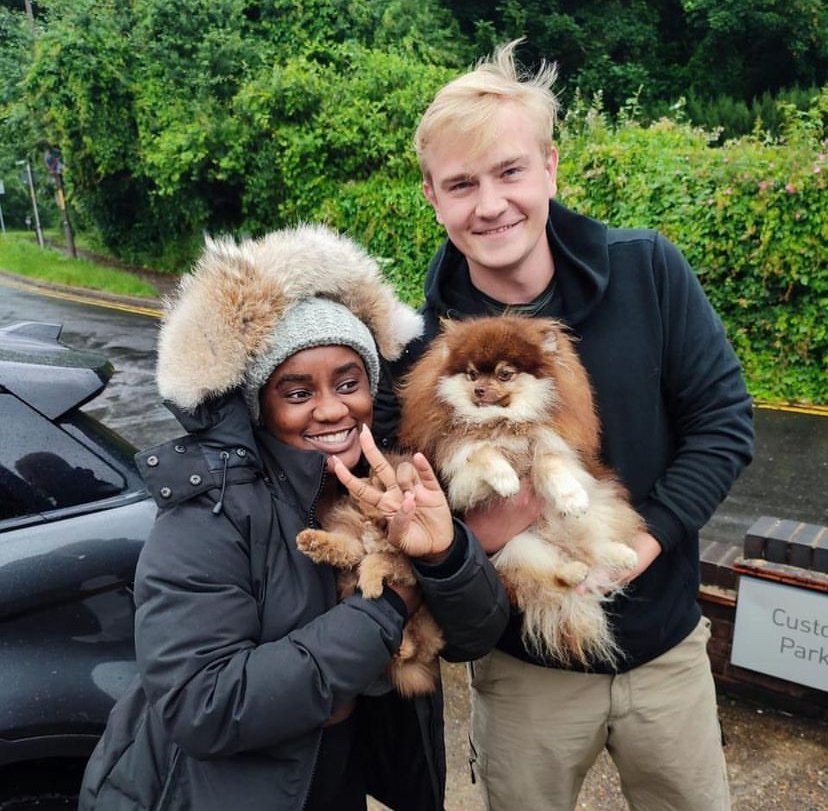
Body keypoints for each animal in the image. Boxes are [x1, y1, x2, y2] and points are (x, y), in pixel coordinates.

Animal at [294, 456, 444, 696]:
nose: (355, 481)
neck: (376, 525)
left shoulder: (405, 565)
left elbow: (379, 558)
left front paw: (370, 584)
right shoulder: (354, 544)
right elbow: (339, 545)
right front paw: (312, 540)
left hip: (425, 622)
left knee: (417, 648)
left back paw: (403, 647)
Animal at [398, 316, 644, 668]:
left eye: (505, 374)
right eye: (472, 374)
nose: (479, 389)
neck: (501, 421)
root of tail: (566, 548)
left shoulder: (547, 443)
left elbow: (551, 463)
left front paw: (570, 496)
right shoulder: (460, 469)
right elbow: (483, 453)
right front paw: (507, 480)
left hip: (596, 511)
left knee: (594, 543)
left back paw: (621, 554)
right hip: (517, 549)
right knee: (554, 572)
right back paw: (574, 570)